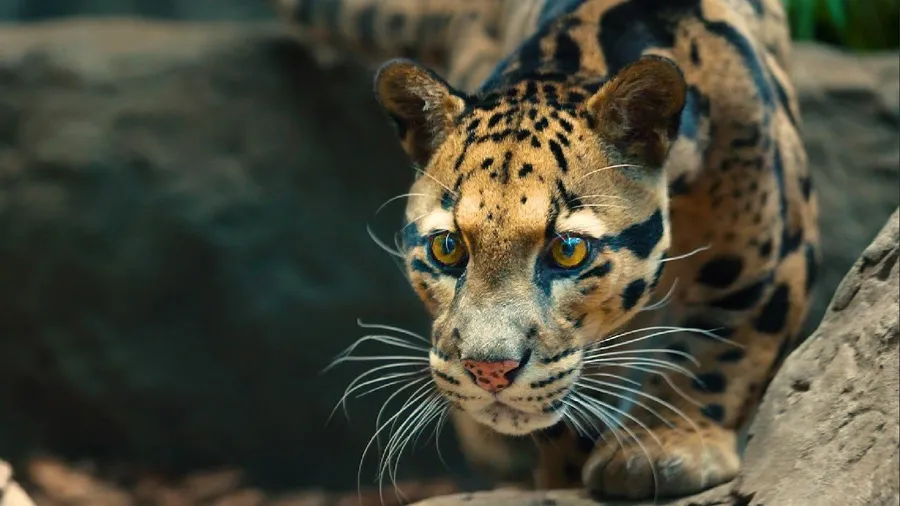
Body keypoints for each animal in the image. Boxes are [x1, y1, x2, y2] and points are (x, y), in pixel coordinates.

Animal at [270, 0, 821, 499]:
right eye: (447, 247)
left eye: (569, 250)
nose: (488, 372)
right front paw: (568, 471)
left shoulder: (767, 265)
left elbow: (720, 352)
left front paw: (665, 447)